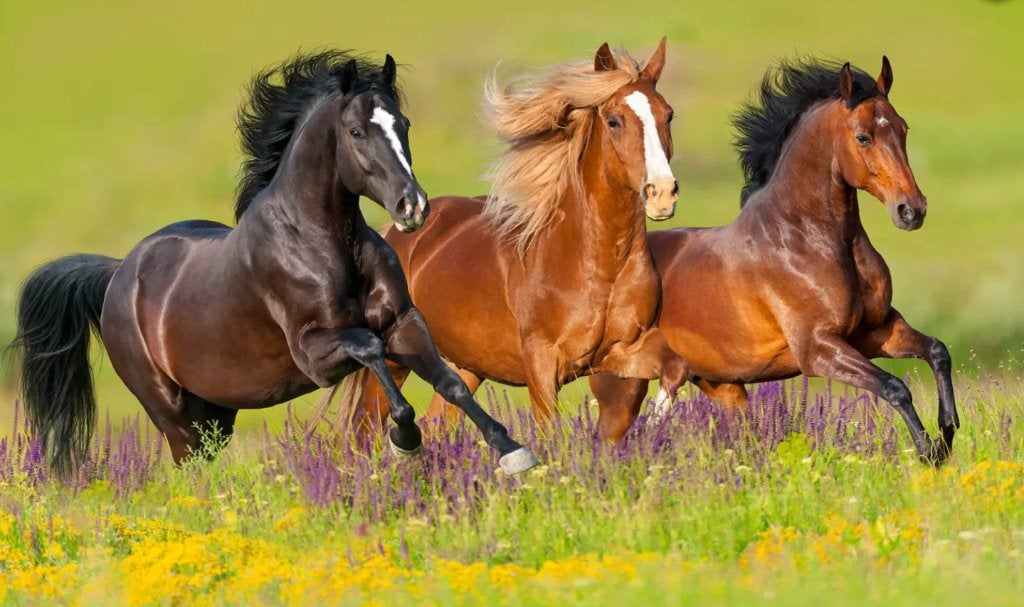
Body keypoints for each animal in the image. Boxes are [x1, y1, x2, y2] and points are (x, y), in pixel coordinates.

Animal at [10, 50, 539, 478]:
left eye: (403, 125)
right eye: (356, 131)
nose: (413, 208)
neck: (326, 244)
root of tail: (119, 273)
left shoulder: (404, 323)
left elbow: (451, 383)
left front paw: (513, 452)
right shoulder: (315, 353)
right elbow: (370, 348)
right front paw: (405, 440)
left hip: (215, 412)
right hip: (171, 413)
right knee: (189, 469)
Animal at [349, 39, 689, 442]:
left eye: (668, 116)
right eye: (614, 121)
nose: (662, 193)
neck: (599, 264)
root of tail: (392, 234)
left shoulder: (623, 350)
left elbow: (675, 369)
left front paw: (652, 427)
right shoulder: (541, 364)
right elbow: (549, 433)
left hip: (466, 366)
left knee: (436, 423)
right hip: (394, 356)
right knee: (364, 429)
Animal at [588, 57, 959, 464]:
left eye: (903, 128)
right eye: (863, 137)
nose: (912, 210)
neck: (806, 240)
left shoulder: (875, 331)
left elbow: (937, 351)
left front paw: (948, 431)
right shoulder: (818, 350)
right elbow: (895, 387)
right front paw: (929, 452)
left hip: (722, 386)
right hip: (624, 385)